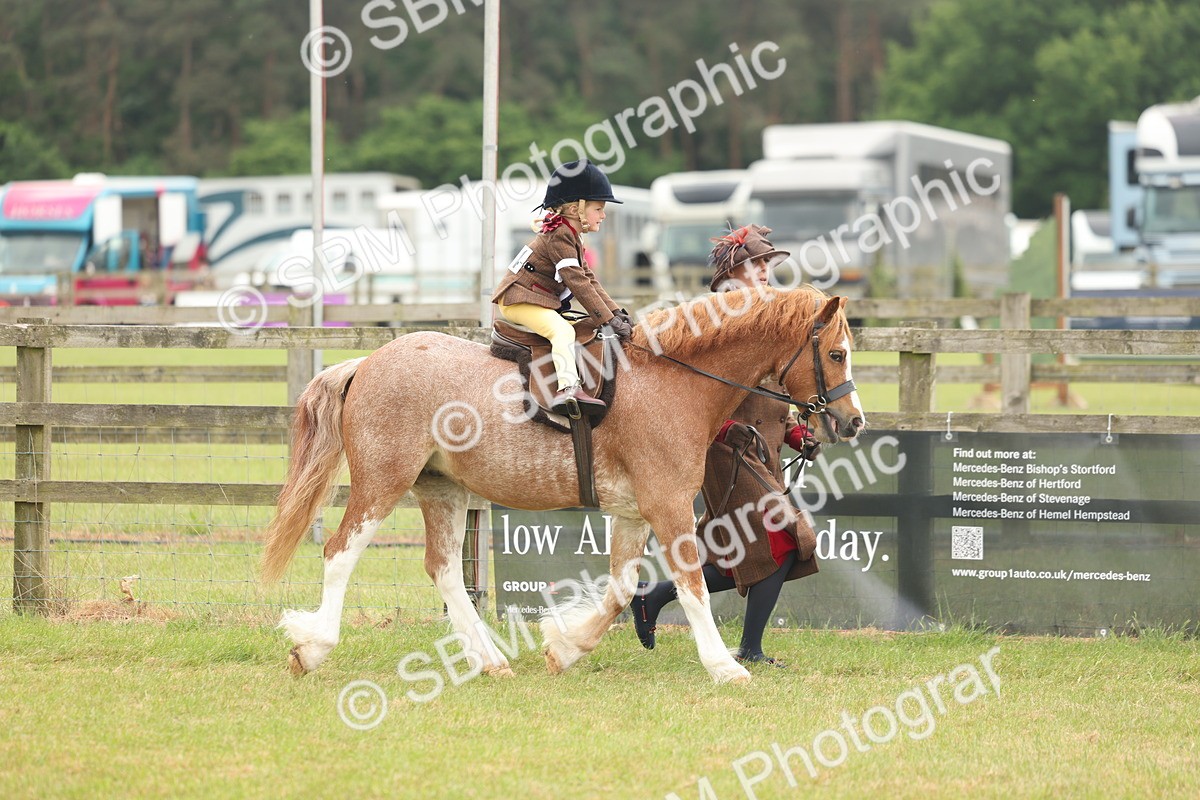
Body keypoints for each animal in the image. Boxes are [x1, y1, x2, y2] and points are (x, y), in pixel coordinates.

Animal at [261, 285, 865, 684]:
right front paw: (722, 666)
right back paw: (312, 649)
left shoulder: (634, 514)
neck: (674, 380)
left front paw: (566, 648)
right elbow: (693, 588)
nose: (854, 421)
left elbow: (621, 589)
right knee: (340, 554)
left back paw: (491, 661)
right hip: (383, 484)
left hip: (441, 490)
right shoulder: (669, 508)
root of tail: (366, 362)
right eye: (836, 354)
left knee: (445, 570)